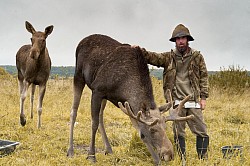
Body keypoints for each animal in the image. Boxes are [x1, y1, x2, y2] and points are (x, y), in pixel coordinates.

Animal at [67, 34, 193, 165]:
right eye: (152, 130)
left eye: (166, 127)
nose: (169, 154)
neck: (124, 84)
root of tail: (82, 40)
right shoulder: (97, 90)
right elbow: (94, 123)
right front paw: (91, 155)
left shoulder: (127, 104)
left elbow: (138, 129)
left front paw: (156, 160)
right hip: (78, 75)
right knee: (74, 111)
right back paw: (70, 151)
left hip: (103, 96)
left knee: (101, 116)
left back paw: (108, 149)